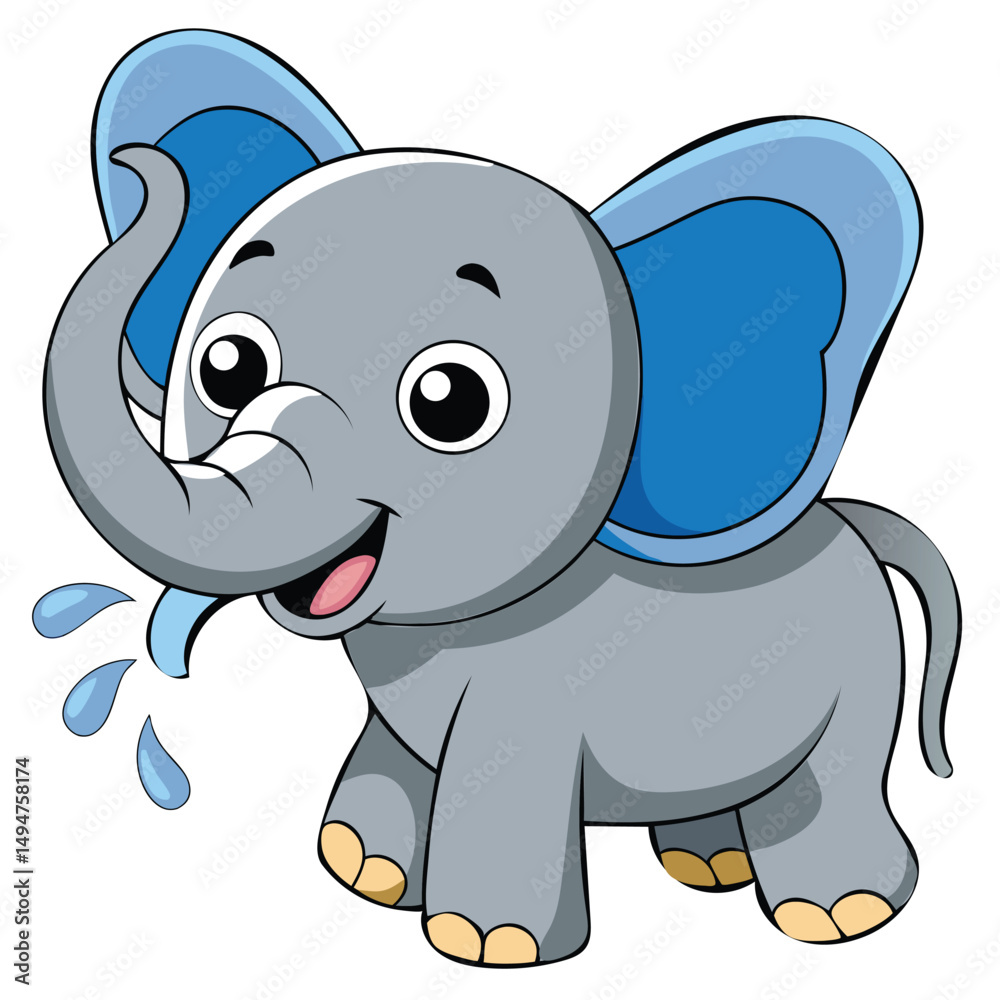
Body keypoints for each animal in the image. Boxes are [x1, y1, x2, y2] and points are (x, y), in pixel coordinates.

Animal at [44, 30, 960, 966]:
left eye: (450, 401)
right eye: (227, 367)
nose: (141, 165)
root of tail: (851, 521)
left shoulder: (534, 696)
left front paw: (488, 944)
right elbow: (400, 760)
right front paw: (363, 874)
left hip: (862, 674)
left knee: (835, 780)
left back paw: (840, 914)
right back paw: (709, 866)